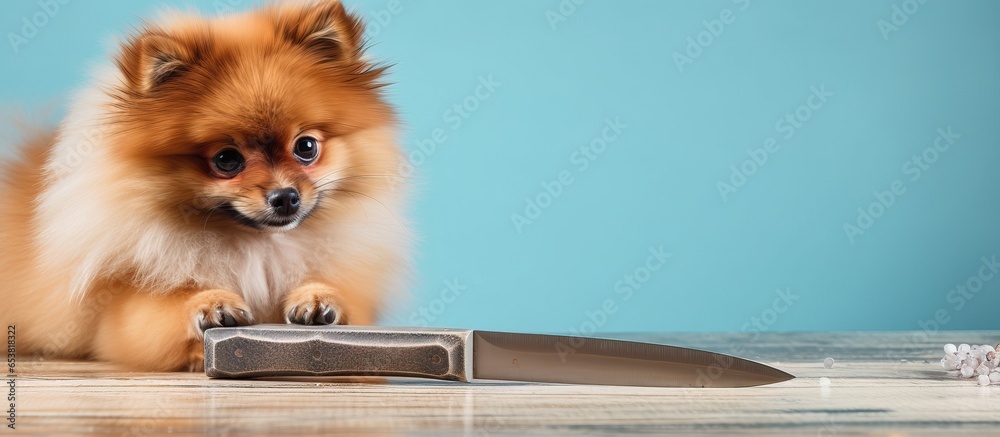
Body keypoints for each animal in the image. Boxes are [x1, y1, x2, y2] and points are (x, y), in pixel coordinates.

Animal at [0, 0, 410, 370]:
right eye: (226, 160)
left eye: (306, 147)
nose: (285, 197)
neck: (258, 246)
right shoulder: (120, 311)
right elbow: (160, 317)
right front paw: (209, 304)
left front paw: (319, 298)